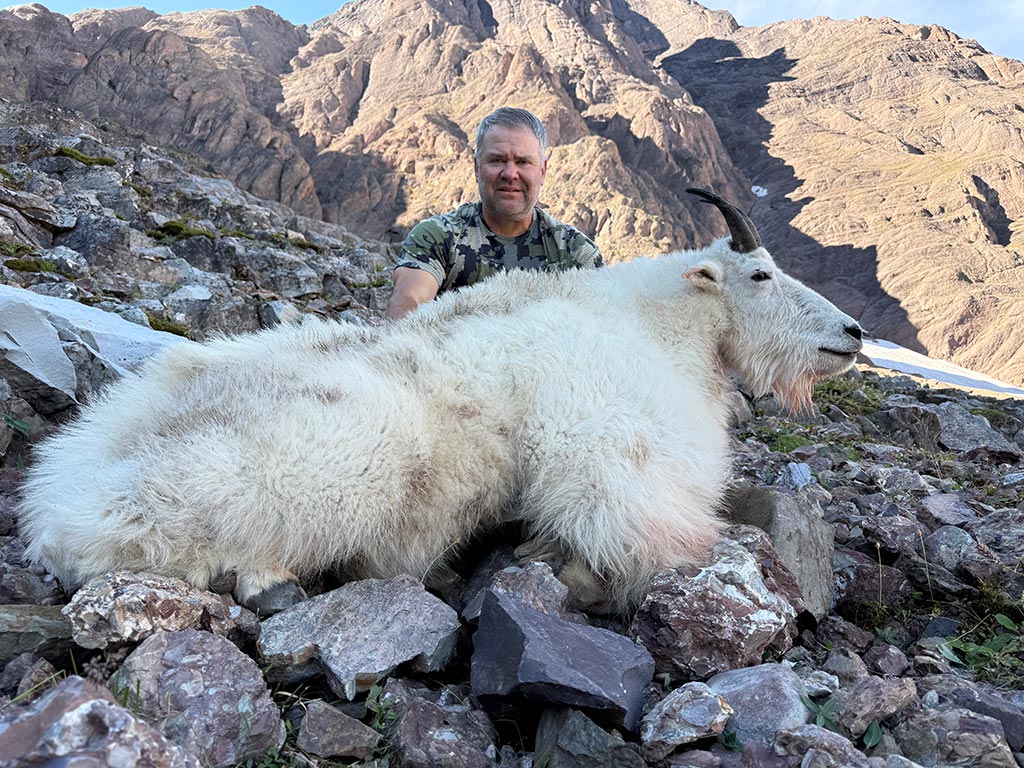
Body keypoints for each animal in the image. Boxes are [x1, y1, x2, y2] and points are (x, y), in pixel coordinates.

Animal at [18, 190, 863, 611]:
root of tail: (66, 491)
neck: (658, 326)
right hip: (322, 469)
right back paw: (261, 577)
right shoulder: (611, 452)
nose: (853, 333)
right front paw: (565, 570)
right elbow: (630, 536)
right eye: (760, 274)